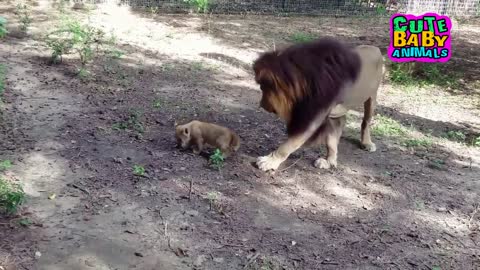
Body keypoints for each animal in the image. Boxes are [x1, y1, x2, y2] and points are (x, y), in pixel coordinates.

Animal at [253, 37, 384, 172]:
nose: (261, 105)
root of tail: (376, 48)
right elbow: (331, 141)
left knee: (366, 121)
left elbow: (288, 145)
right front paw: (329, 162)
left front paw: (269, 161)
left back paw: (367, 143)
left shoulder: (314, 118)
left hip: (372, 97)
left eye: (262, 88)